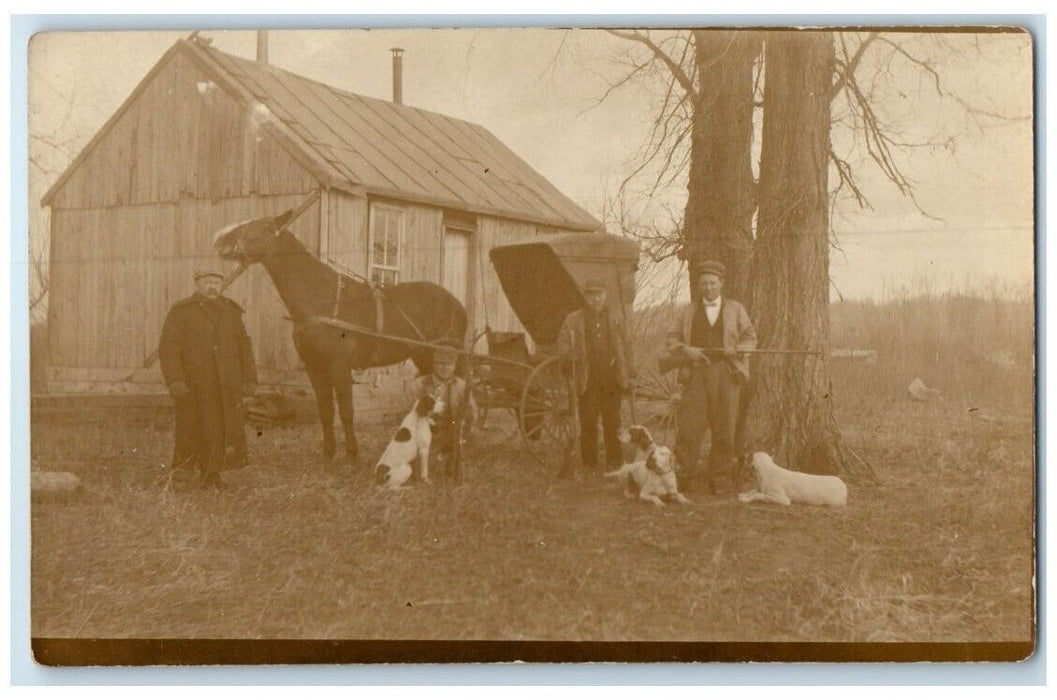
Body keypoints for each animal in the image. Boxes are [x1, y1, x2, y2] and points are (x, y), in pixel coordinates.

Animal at [214, 211, 467, 469]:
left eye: (263, 226)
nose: (221, 238)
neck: (320, 298)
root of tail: (456, 303)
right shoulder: (315, 368)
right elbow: (326, 411)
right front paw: (329, 453)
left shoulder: (340, 367)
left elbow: (346, 411)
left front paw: (352, 455)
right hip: (424, 357)